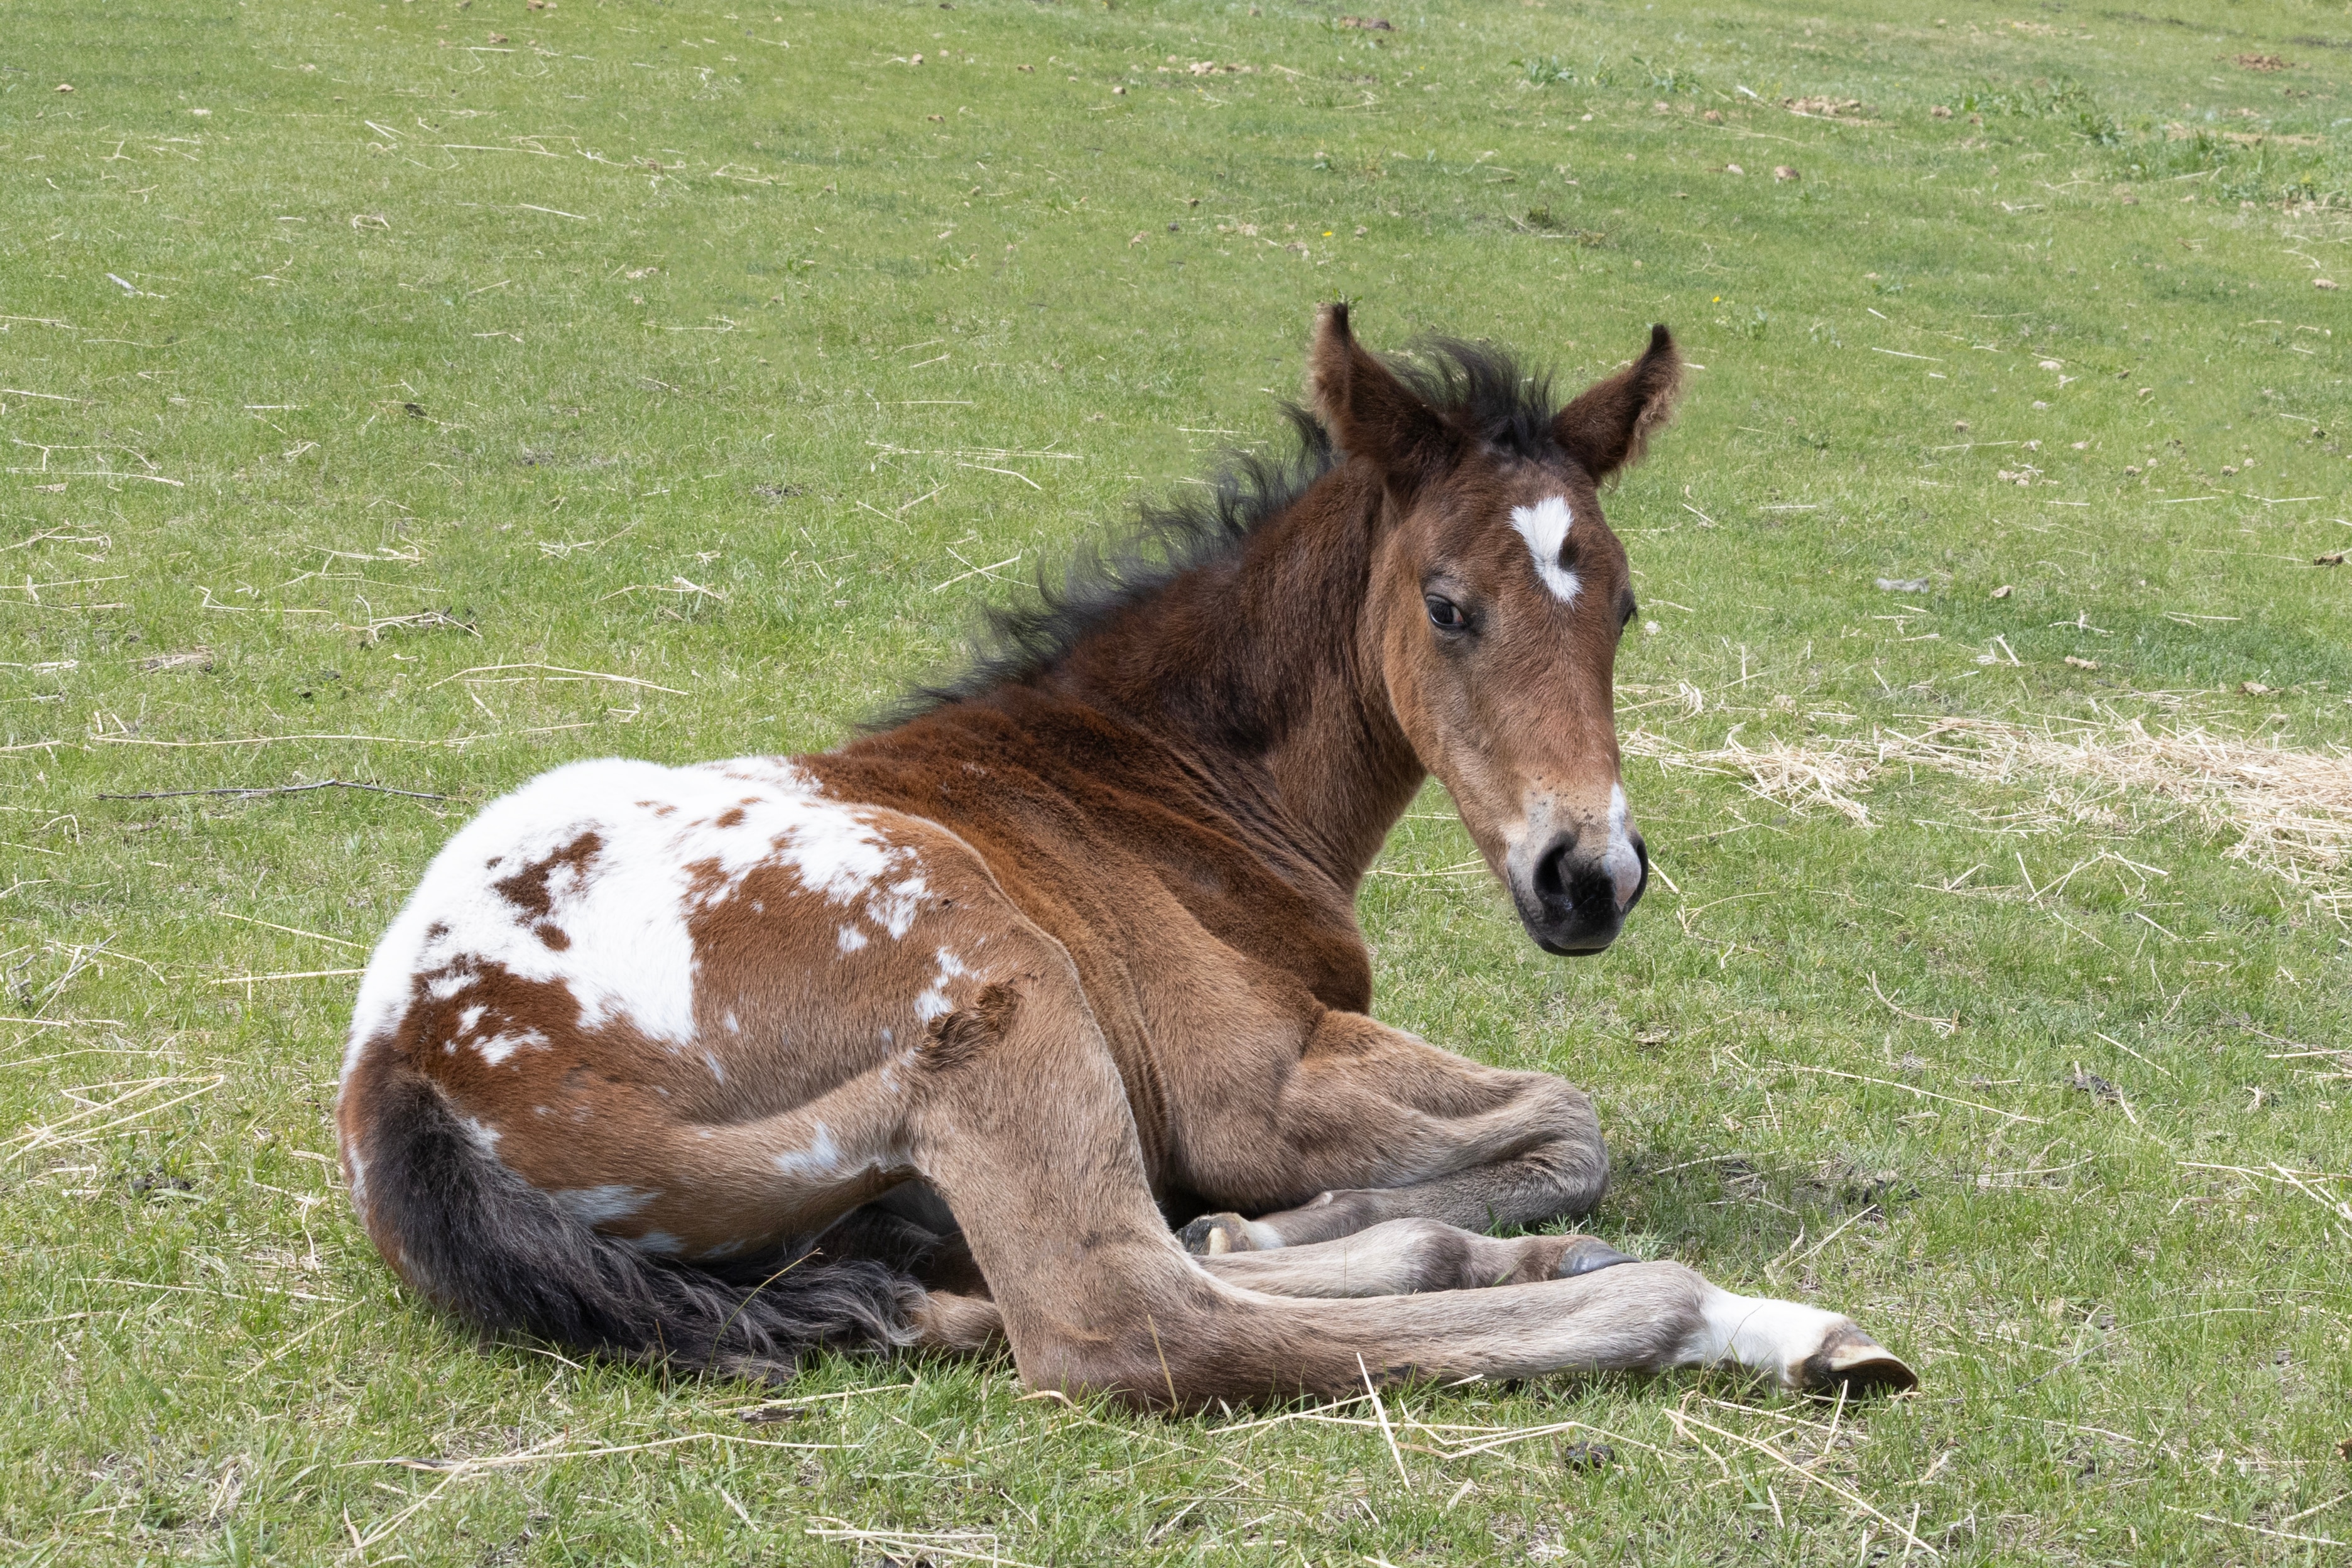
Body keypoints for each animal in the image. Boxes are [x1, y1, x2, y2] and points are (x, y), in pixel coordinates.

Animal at [340, 305, 1919, 1410]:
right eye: (1447, 603)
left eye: (1624, 606)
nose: (1586, 875)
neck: (1164, 774)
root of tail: (405, 1062)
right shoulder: (1249, 1086)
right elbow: (1569, 1120)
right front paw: (1310, 1221)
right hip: (1004, 987)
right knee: (1130, 1319)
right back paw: (1721, 1315)